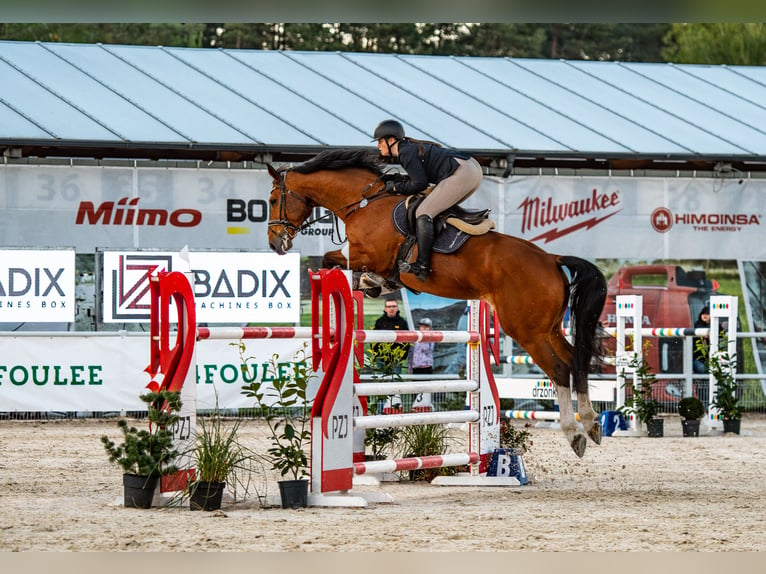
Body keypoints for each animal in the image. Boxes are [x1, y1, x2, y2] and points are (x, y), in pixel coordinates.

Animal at [268, 148, 608, 460]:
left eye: (271, 200)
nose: (275, 243)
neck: (364, 204)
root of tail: (552, 259)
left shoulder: (370, 255)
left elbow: (332, 259)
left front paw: (365, 281)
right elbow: (344, 265)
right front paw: (372, 284)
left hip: (527, 331)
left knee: (560, 369)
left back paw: (574, 433)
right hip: (547, 328)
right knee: (575, 360)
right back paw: (592, 424)